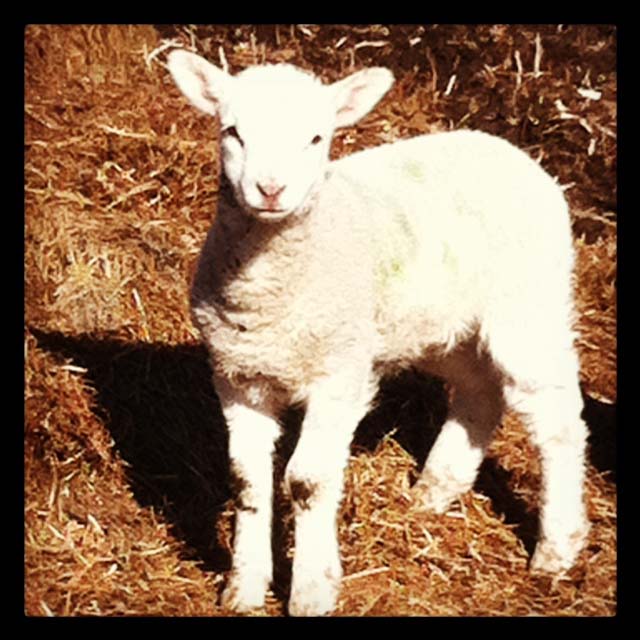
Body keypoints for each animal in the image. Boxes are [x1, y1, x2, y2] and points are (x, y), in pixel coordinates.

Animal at [167, 49, 590, 617]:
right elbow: (246, 480)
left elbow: (307, 481)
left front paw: (312, 590)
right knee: (480, 390)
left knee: (558, 422)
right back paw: (434, 491)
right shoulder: (238, 375)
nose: (271, 189)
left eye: (316, 138)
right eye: (232, 131)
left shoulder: (339, 372)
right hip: (439, 324)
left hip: (529, 303)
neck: (272, 284)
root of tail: (507, 150)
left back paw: (555, 549)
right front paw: (244, 588)